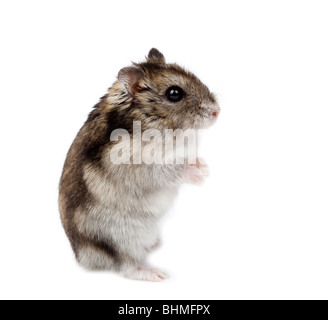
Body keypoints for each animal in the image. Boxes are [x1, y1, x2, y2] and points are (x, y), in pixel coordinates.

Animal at [59, 48, 220, 282]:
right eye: (174, 93)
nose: (218, 111)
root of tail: (82, 256)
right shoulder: (140, 166)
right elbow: (172, 170)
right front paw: (200, 175)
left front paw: (204, 167)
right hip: (121, 237)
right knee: (125, 265)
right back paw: (156, 274)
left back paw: (155, 243)